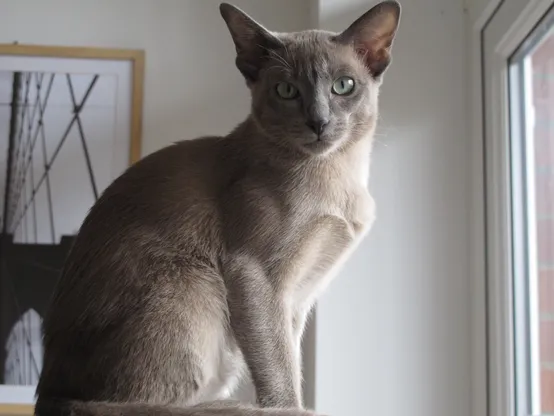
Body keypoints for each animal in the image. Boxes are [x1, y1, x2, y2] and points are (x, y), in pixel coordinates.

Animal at [34, 1, 398, 414]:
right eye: (286, 90)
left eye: (343, 85)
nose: (318, 122)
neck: (338, 176)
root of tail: (52, 395)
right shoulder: (256, 276)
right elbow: (280, 374)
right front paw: (291, 408)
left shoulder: (298, 298)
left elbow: (290, 363)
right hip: (197, 285)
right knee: (157, 404)